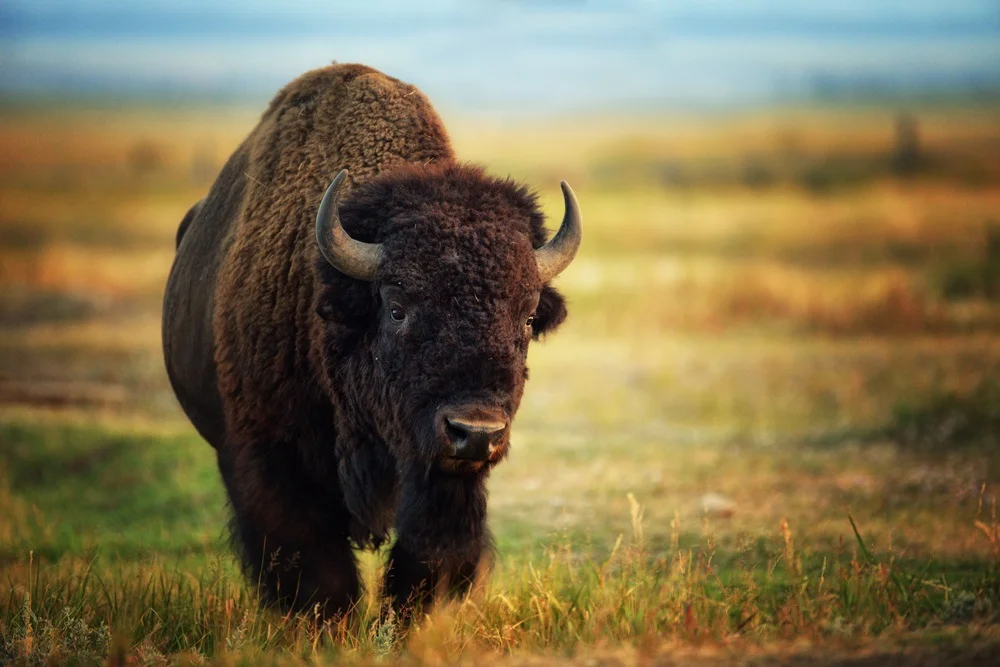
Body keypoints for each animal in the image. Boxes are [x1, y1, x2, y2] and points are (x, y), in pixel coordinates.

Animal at [162, 63, 582, 619]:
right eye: (397, 308)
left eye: (528, 317)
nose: (476, 432)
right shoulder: (270, 457)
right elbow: (317, 573)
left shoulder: (442, 478)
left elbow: (428, 559)